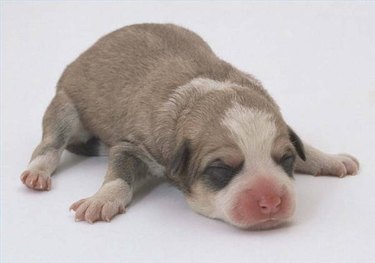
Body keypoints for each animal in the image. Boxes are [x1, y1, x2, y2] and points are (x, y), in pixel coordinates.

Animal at [19, 23, 358, 230]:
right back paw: (37, 172)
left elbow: (305, 148)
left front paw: (330, 159)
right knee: (50, 145)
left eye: (286, 159)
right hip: (65, 106)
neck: (208, 94)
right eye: (221, 169)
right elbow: (119, 174)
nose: (272, 202)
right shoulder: (133, 145)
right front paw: (102, 199)